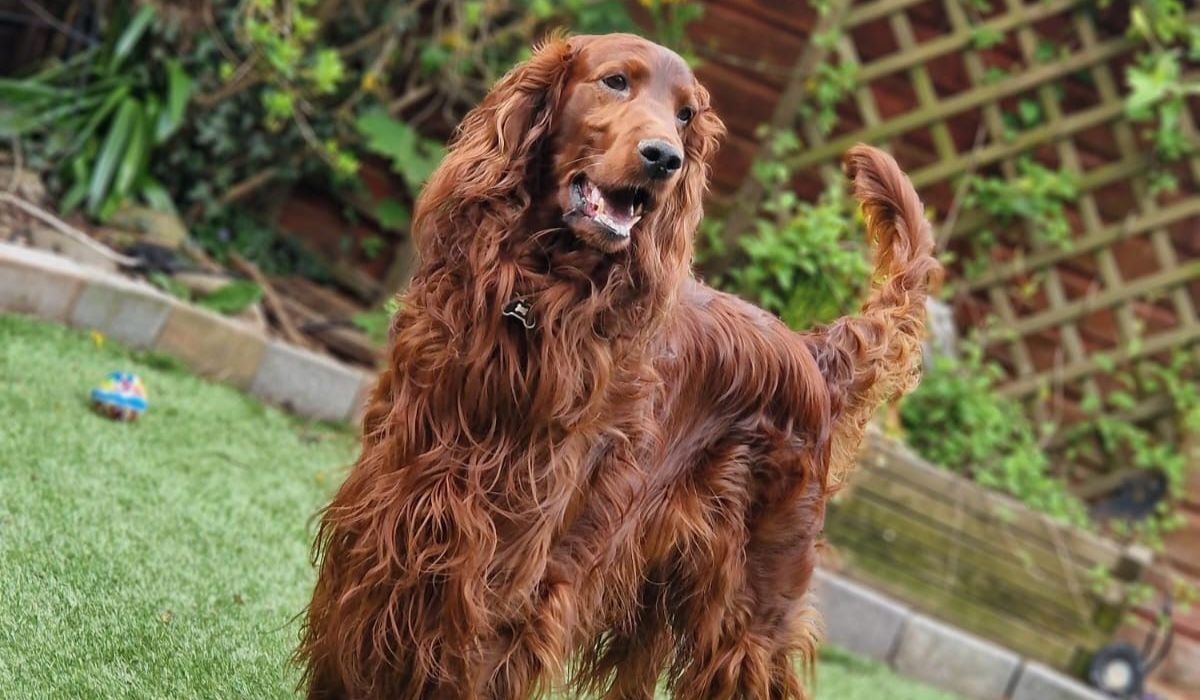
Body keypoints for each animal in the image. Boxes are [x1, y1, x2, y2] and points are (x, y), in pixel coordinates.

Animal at [295, 31, 940, 700]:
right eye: (614, 81)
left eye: (686, 115)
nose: (665, 159)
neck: (535, 301)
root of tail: (812, 352)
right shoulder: (388, 514)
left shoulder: (503, 569)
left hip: (752, 601)